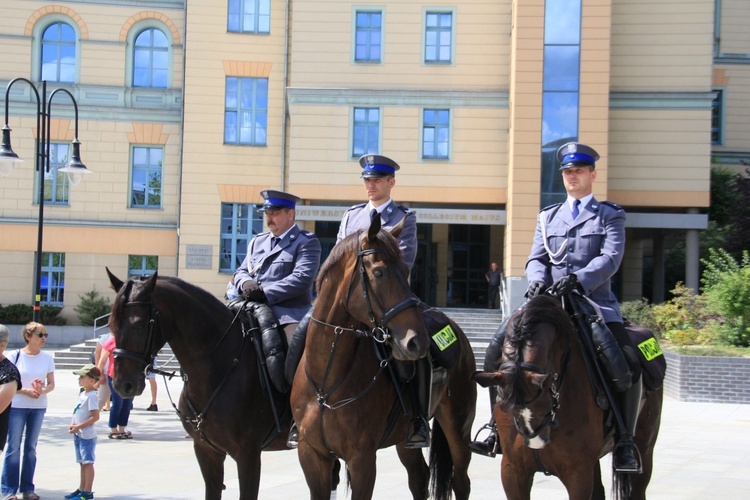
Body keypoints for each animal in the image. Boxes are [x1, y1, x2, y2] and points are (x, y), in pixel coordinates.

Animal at [290, 213, 478, 498]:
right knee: (419, 477)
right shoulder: (311, 455)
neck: (326, 381)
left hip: (458, 426)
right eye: (379, 272)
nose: (418, 342)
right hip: (404, 438)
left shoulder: (362, 459)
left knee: (461, 481)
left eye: (407, 271)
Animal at [476, 294, 664, 498]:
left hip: (645, 446)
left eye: (545, 406)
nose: (536, 442)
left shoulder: (578, 473)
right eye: (506, 408)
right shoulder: (513, 470)